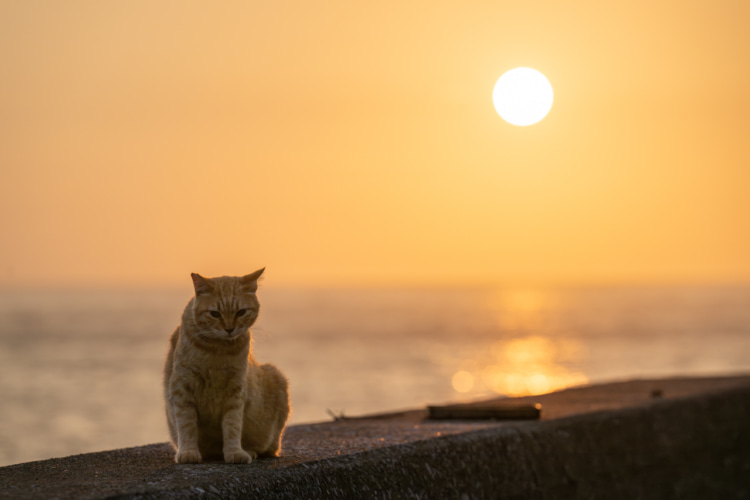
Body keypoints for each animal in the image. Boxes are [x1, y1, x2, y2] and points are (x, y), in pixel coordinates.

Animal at [162, 270, 290, 464]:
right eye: (215, 314)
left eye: (241, 312)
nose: (229, 329)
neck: (217, 350)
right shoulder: (182, 389)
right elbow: (187, 425)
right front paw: (189, 452)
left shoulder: (235, 391)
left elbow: (232, 425)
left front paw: (235, 452)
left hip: (276, 378)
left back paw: (250, 450)